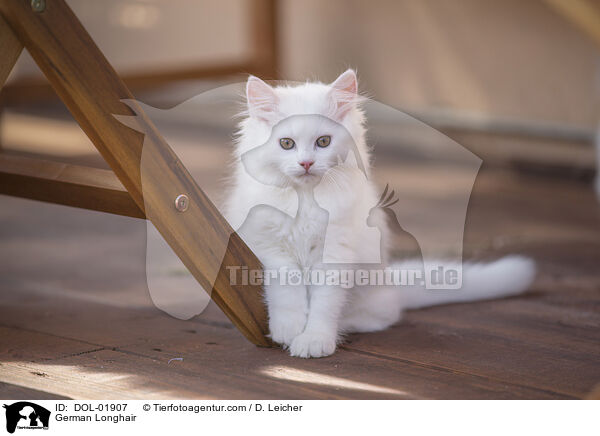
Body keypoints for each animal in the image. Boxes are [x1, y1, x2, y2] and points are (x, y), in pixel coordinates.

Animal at [224, 70, 536, 358]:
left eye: (323, 142)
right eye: (286, 144)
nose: (306, 163)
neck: (305, 199)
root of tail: (391, 283)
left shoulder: (335, 253)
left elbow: (324, 304)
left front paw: (314, 339)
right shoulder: (272, 248)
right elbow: (287, 292)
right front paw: (287, 330)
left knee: (380, 315)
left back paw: (345, 326)